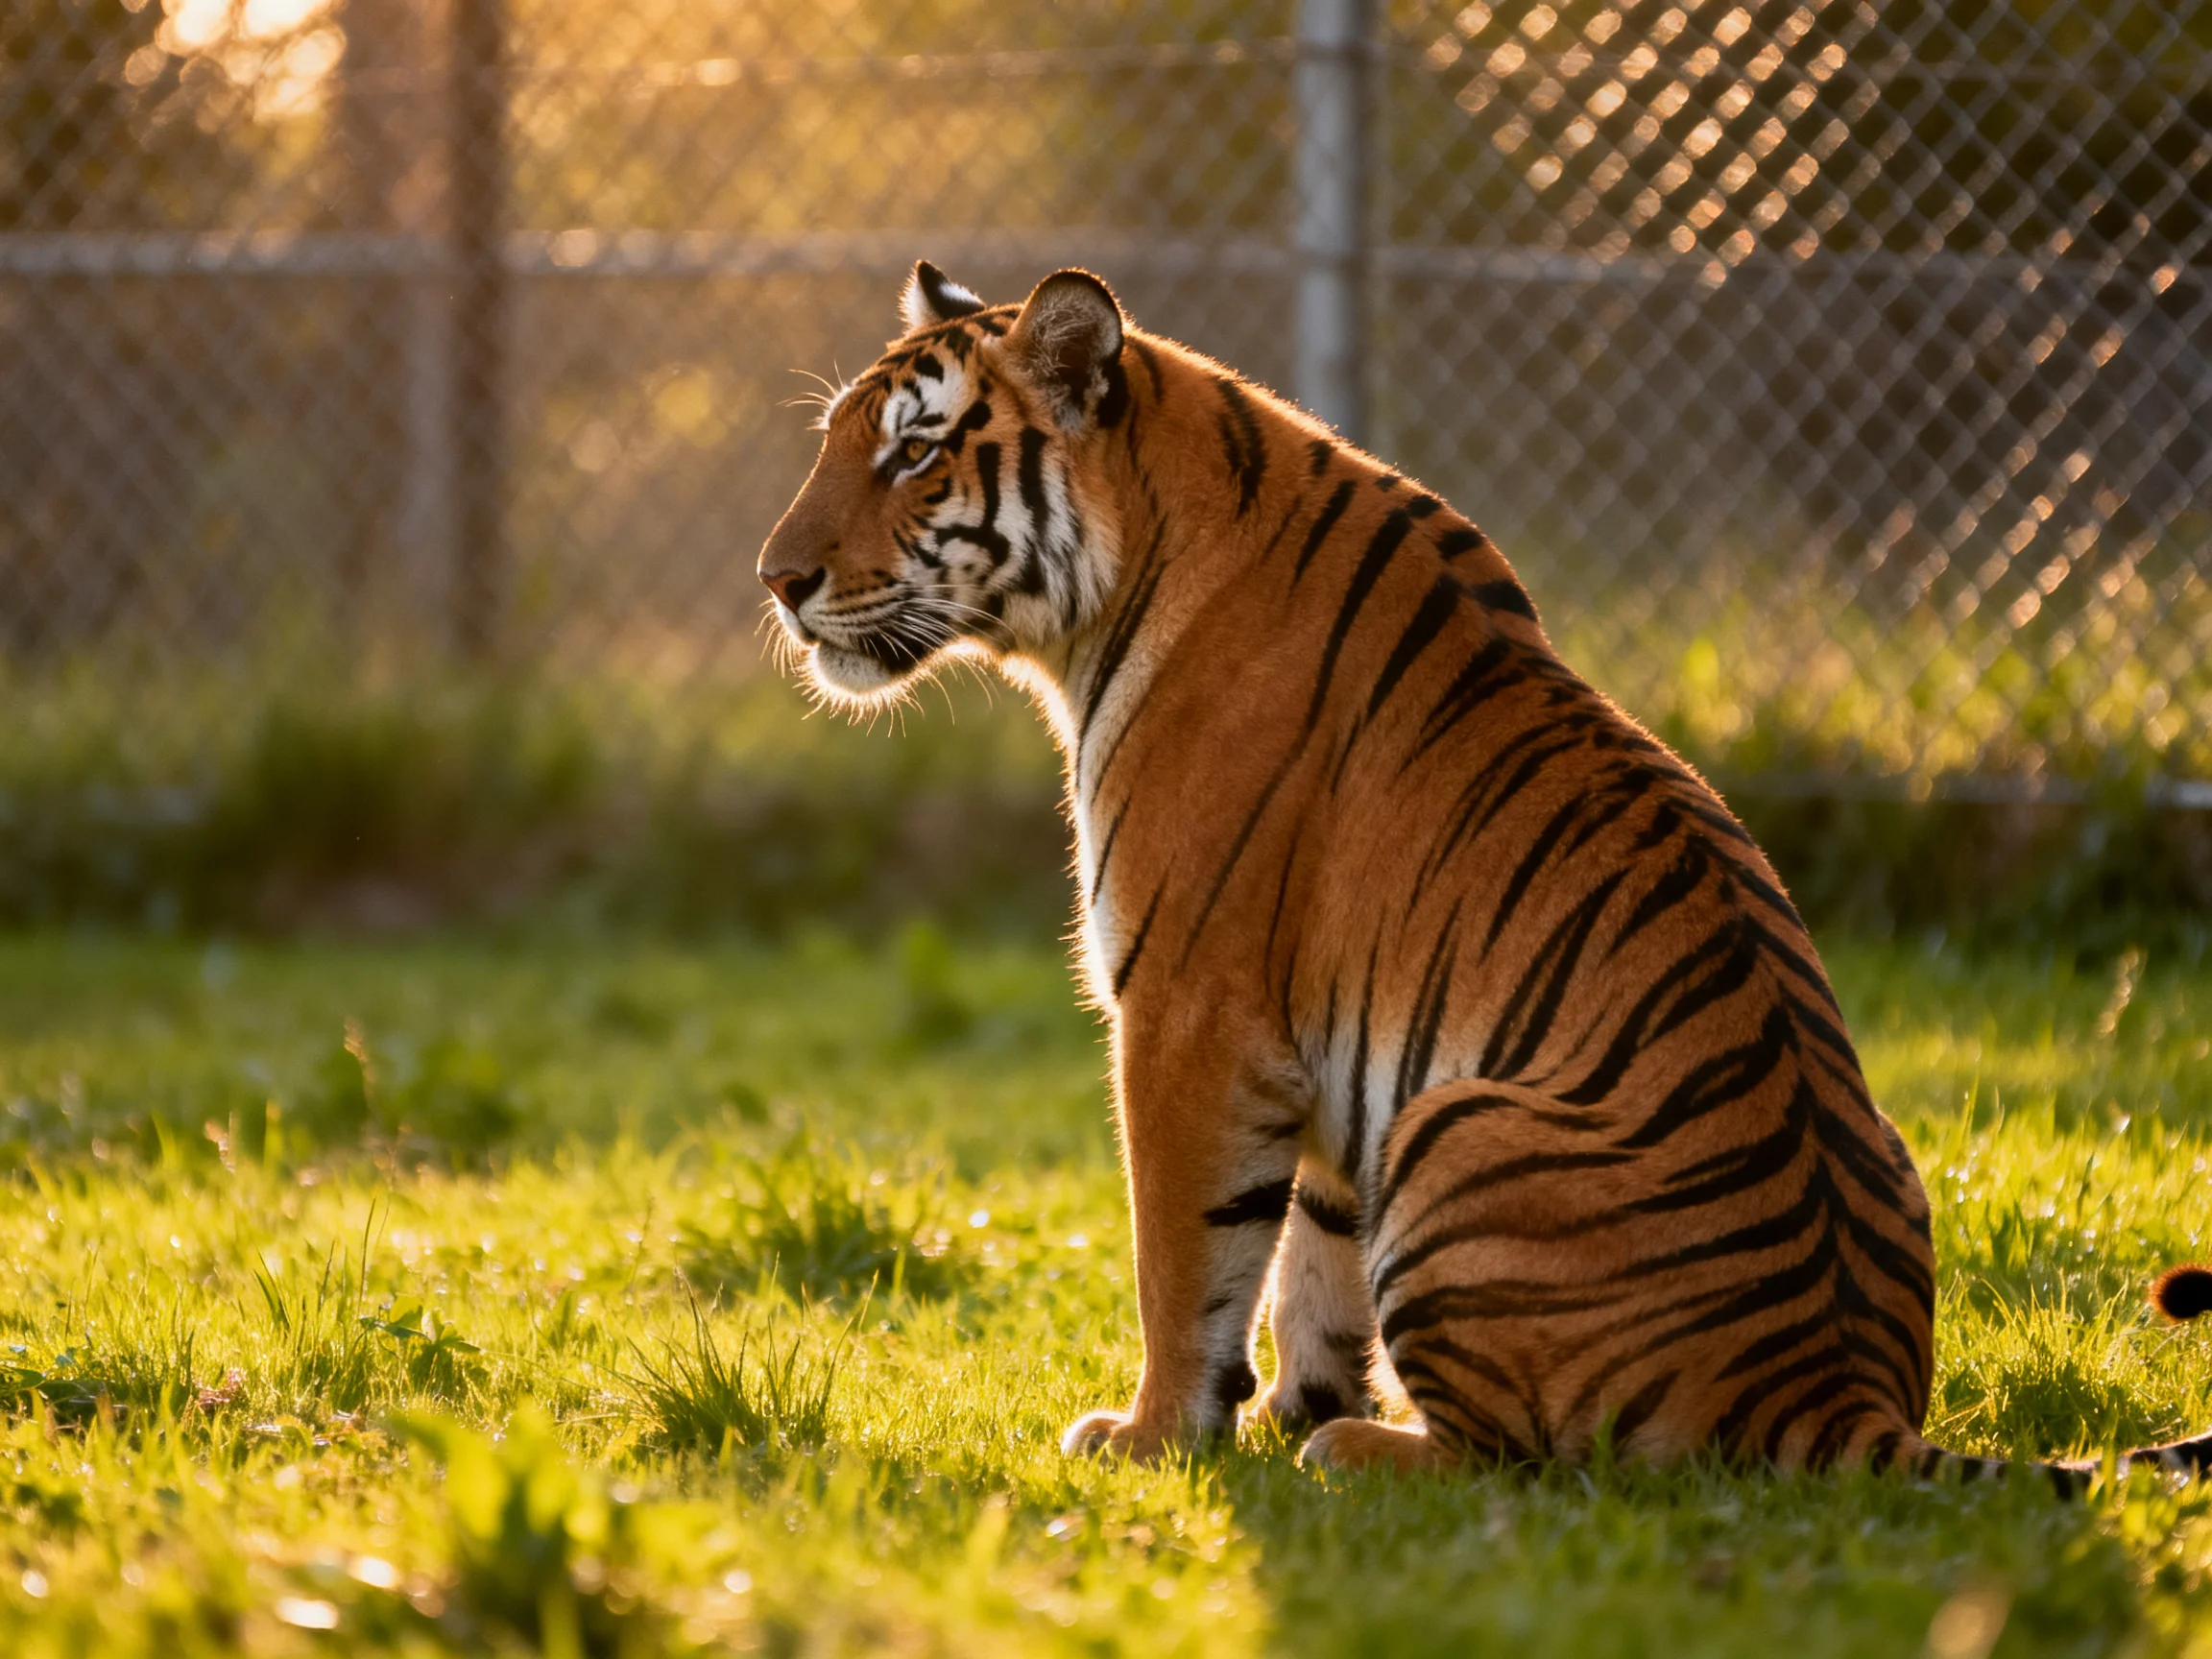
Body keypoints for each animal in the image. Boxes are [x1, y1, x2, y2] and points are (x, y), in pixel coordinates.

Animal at [758, 260, 2212, 1489]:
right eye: (839, 441)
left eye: (914, 452)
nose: (777, 581)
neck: (1115, 591)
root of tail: (1839, 1394)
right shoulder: (1336, 1052)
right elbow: (1313, 1261)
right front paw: (1287, 1404)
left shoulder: (1186, 1013)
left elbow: (1186, 1258)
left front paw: (1159, 1435)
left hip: (1458, 1122)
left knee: (1522, 1456)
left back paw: (1363, 1452)